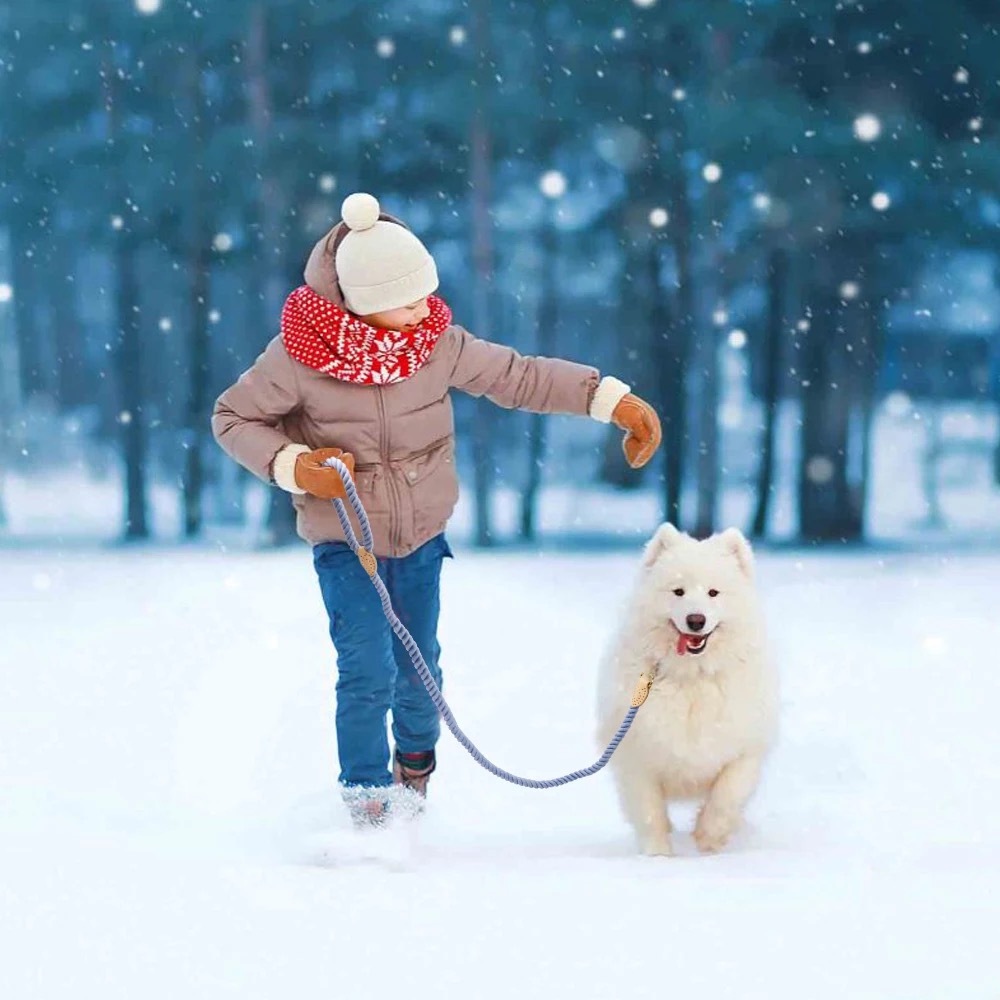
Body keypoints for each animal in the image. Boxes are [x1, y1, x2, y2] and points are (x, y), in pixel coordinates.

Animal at [596, 520, 776, 856]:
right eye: (678, 591)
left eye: (713, 593)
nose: (696, 620)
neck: (693, 677)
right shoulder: (636, 755)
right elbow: (650, 811)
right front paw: (658, 856)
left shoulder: (745, 748)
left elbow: (727, 795)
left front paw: (709, 838)